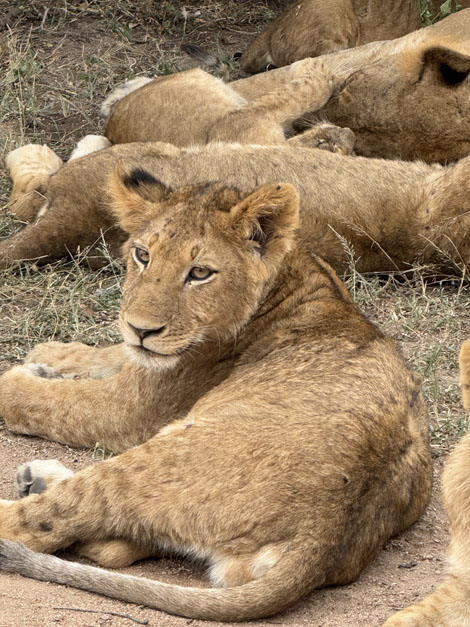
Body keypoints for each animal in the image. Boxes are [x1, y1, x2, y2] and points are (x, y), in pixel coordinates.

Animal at [0, 176, 432, 621]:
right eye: (143, 255)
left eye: (200, 273)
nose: (141, 329)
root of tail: (323, 537)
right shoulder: (143, 365)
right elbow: (110, 353)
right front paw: (49, 357)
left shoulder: (130, 411)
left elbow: (38, 399)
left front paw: (25, 374)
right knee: (117, 543)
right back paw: (39, 478)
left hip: (163, 454)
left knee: (45, 524)